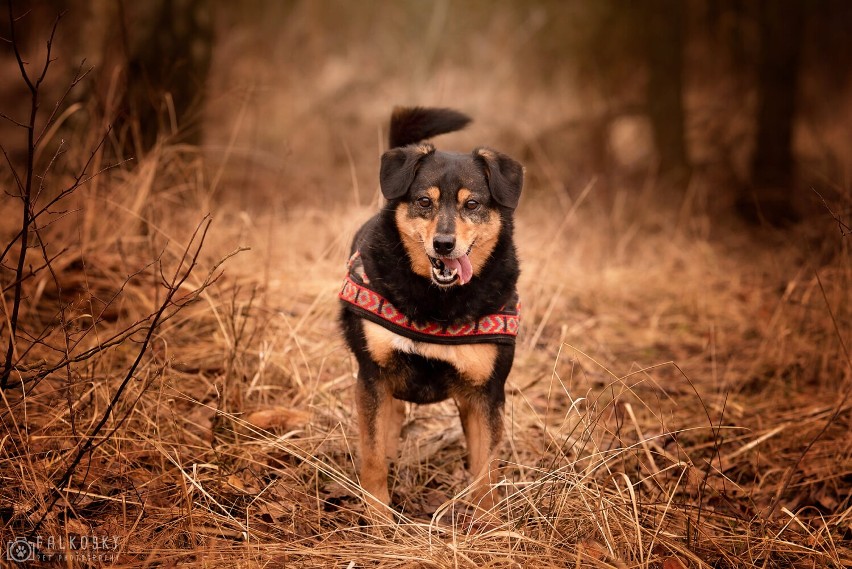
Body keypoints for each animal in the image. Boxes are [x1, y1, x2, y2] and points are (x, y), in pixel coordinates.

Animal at [338, 105, 524, 510]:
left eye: (472, 204)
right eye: (424, 201)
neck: (438, 300)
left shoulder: (486, 393)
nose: (443, 244)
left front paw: (489, 522)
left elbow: (486, 473)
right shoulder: (373, 376)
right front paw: (378, 516)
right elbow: (372, 456)